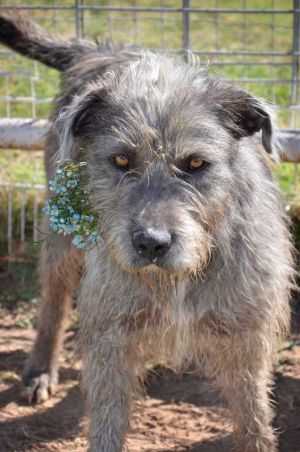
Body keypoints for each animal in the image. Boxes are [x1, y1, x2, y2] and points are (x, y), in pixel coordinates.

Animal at [0, 10, 294, 452]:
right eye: (121, 159)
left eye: (195, 163)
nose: (151, 244)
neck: (180, 278)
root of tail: (101, 50)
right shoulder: (112, 330)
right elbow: (107, 417)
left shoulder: (246, 337)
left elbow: (252, 419)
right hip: (62, 236)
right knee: (54, 296)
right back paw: (40, 369)